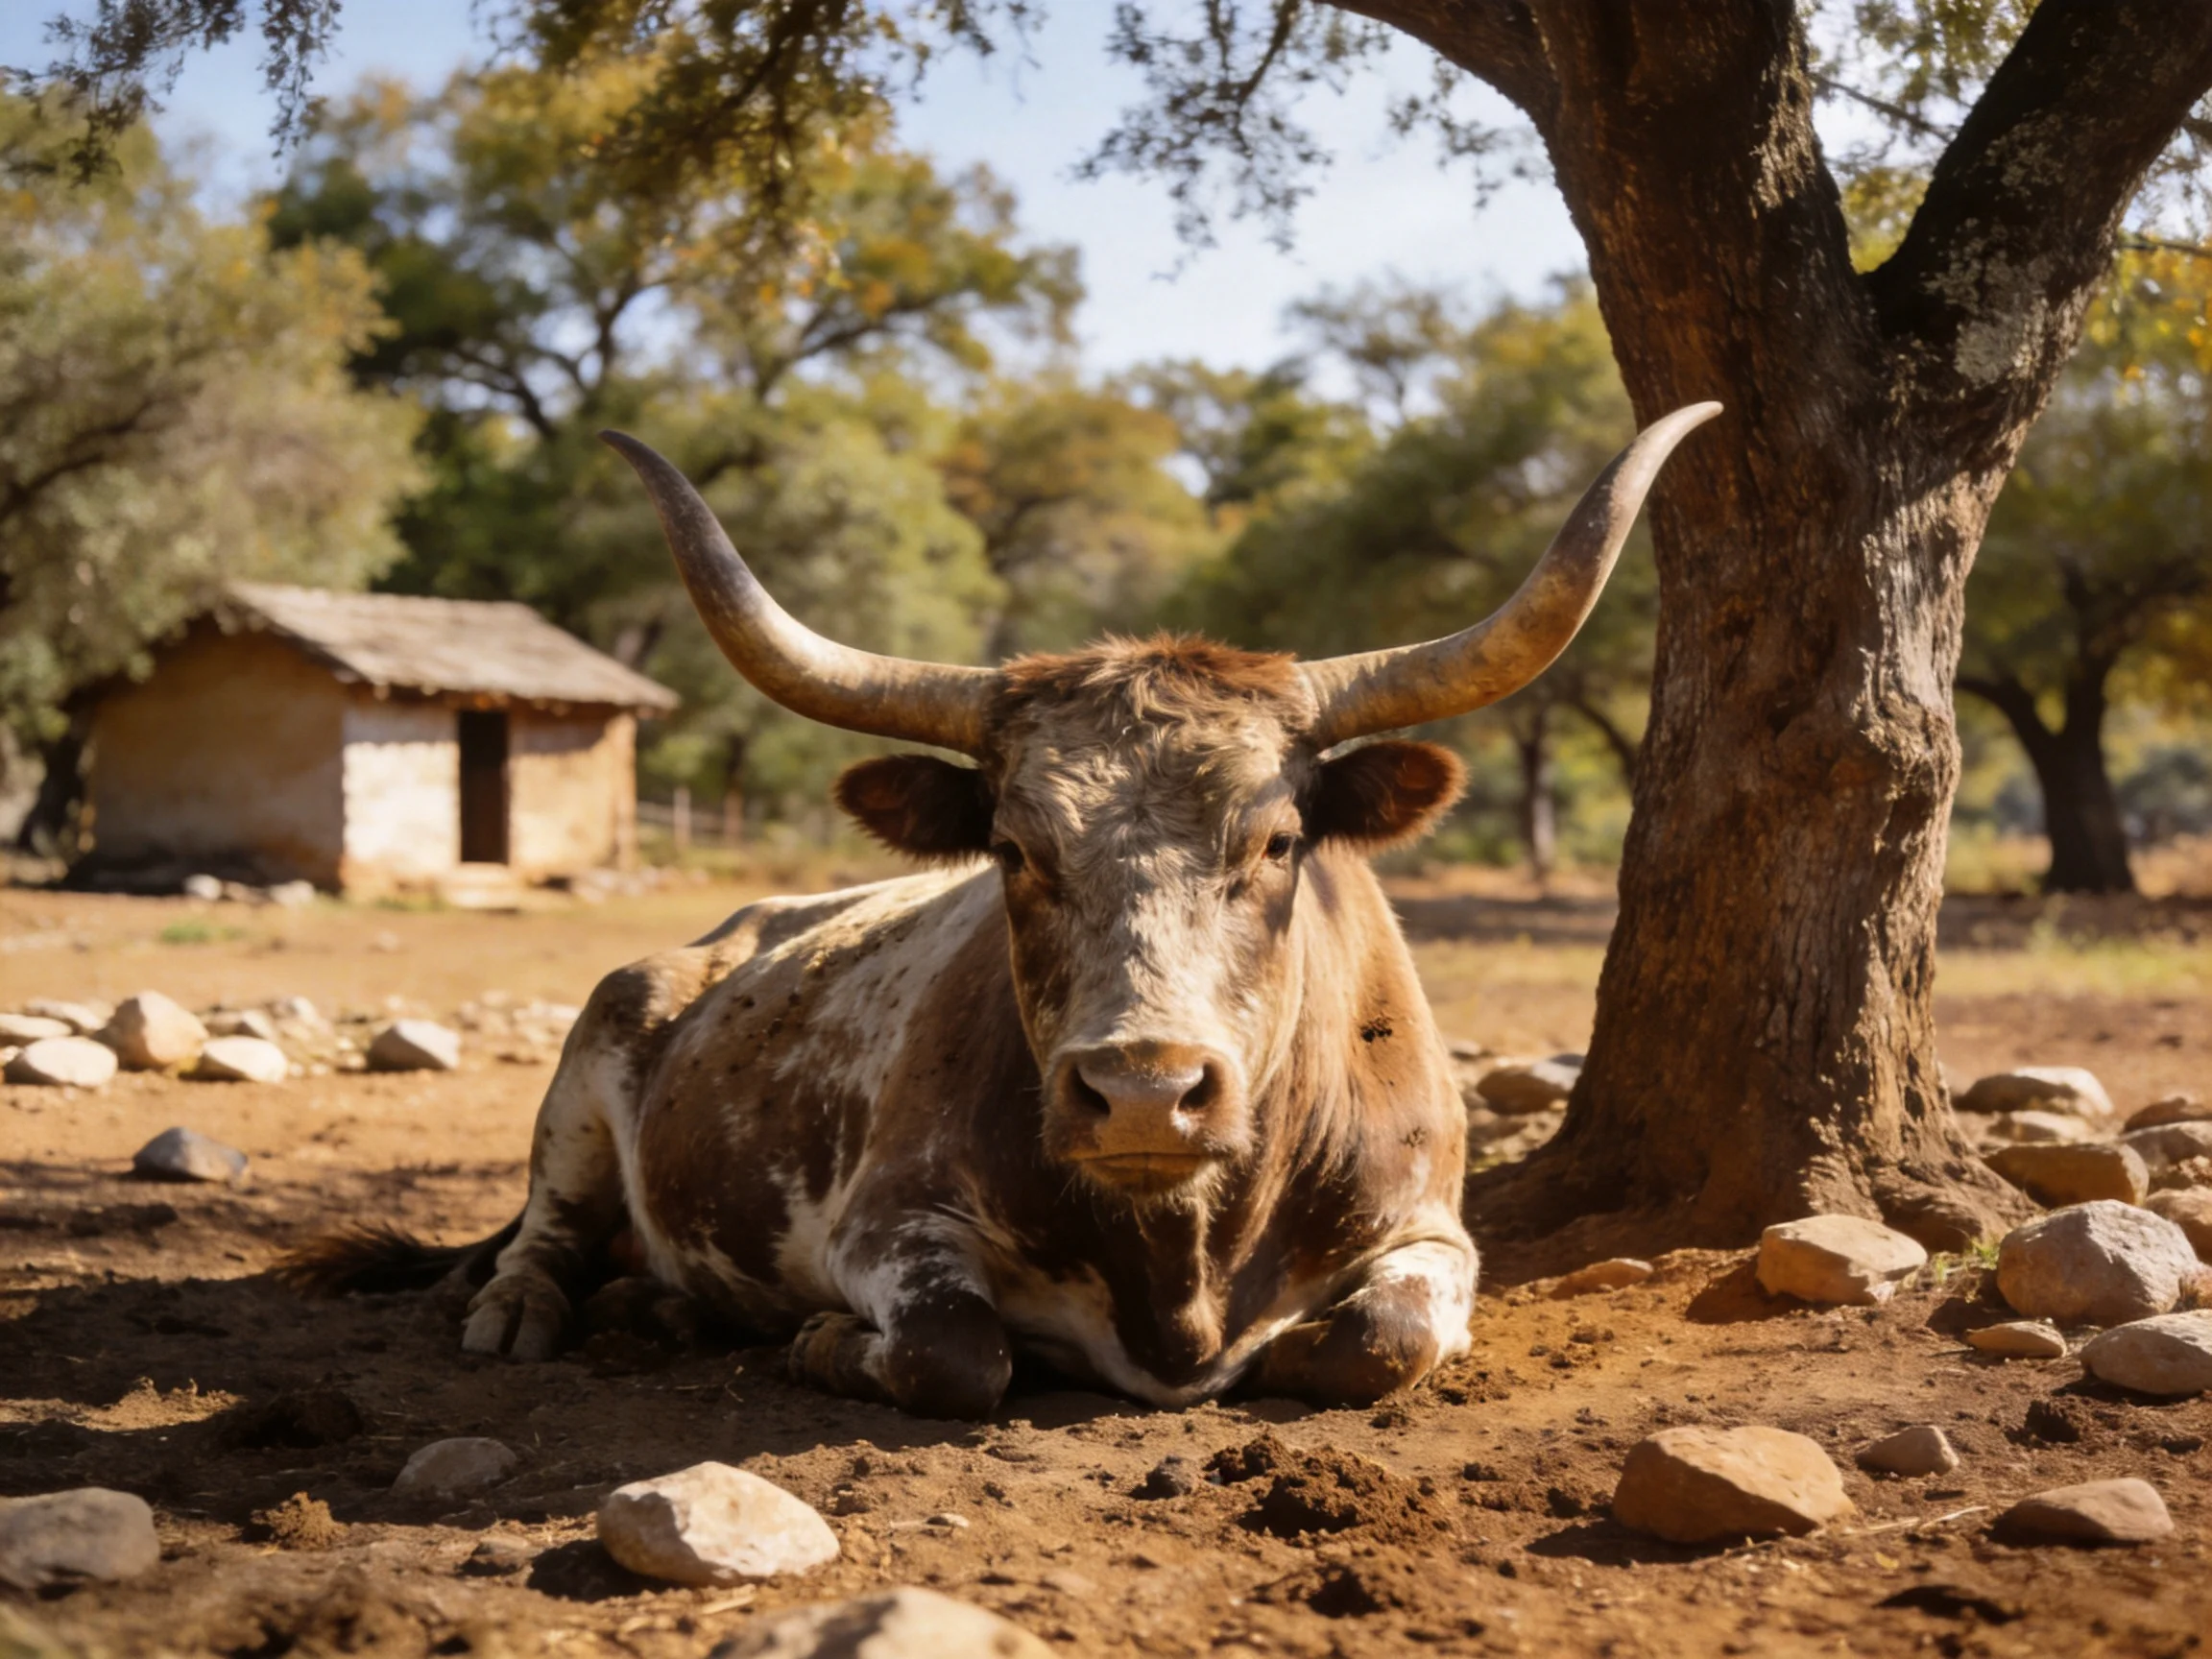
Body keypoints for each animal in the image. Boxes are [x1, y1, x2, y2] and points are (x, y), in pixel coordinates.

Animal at [291, 402, 1718, 1417]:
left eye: (1277, 842)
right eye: (1019, 851)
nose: (1143, 1090)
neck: (1181, 1260)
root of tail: (725, 929)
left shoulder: (1432, 1229)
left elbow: (1379, 1338)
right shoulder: (891, 1224)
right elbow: (952, 1354)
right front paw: (824, 1341)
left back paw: (669, 1310)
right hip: (582, 1078)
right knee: (544, 1235)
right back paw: (536, 1313)